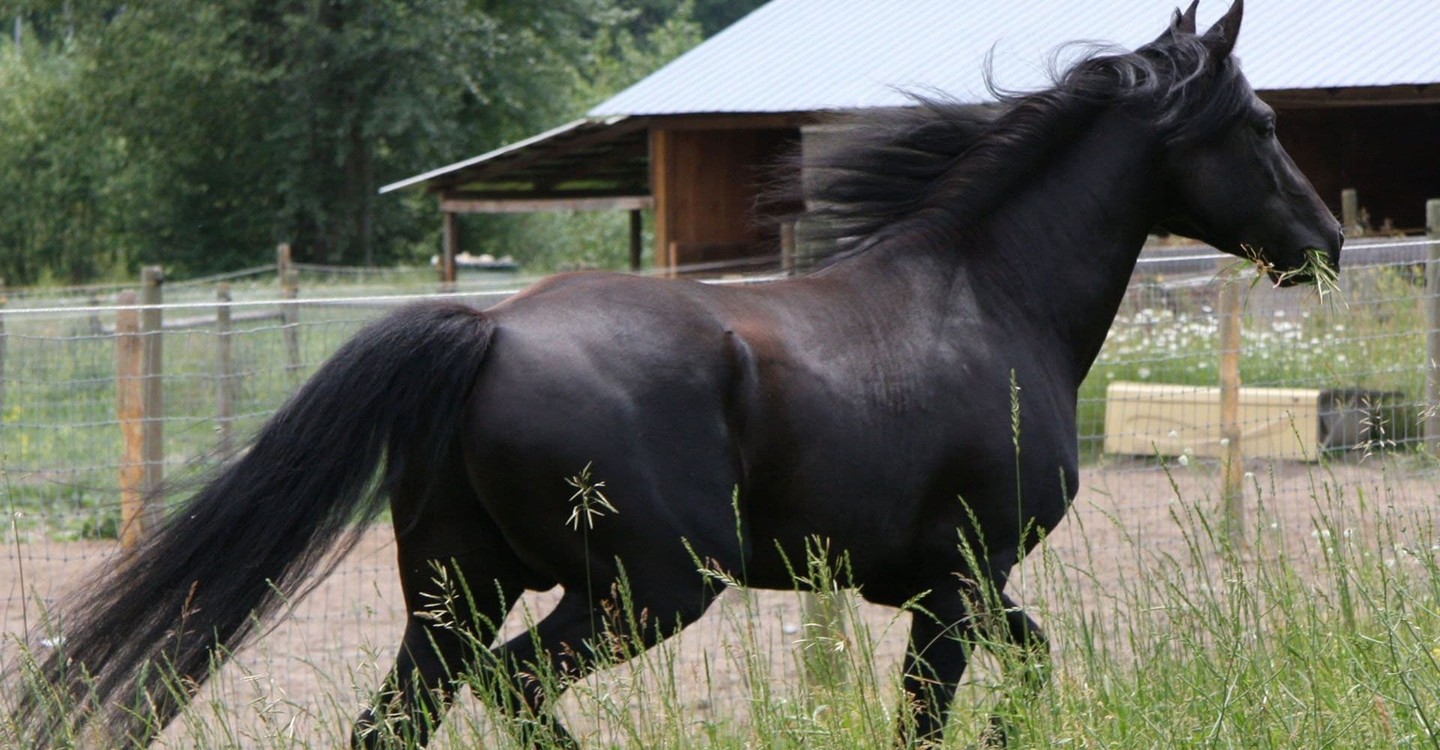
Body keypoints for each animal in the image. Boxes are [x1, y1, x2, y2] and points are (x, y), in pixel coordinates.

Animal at [8, 2, 1336, 742]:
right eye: (1263, 126)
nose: (1321, 240)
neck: (988, 298)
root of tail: (487, 333)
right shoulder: (962, 576)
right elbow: (936, 713)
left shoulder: (941, 583)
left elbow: (1029, 673)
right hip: (643, 589)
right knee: (515, 690)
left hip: (454, 593)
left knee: (405, 719)